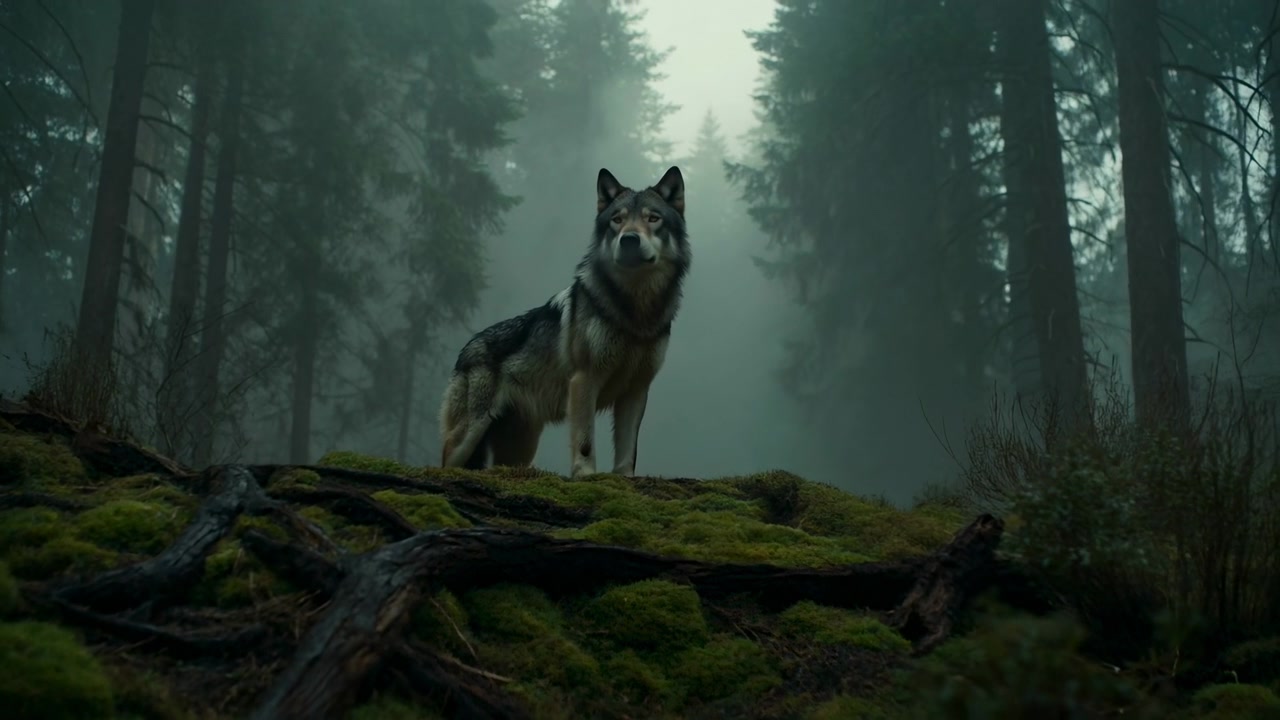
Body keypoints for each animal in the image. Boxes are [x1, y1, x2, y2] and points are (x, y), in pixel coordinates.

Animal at [438, 165, 689, 478]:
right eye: (617, 220)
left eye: (653, 219)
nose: (629, 239)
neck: (634, 310)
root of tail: (467, 347)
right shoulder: (584, 380)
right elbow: (584, 441)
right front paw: (585, 476)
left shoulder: (637, 390)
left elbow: (628, 450)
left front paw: (624, 479)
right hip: (470, 433)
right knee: (445, 455)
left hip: (520, 448)